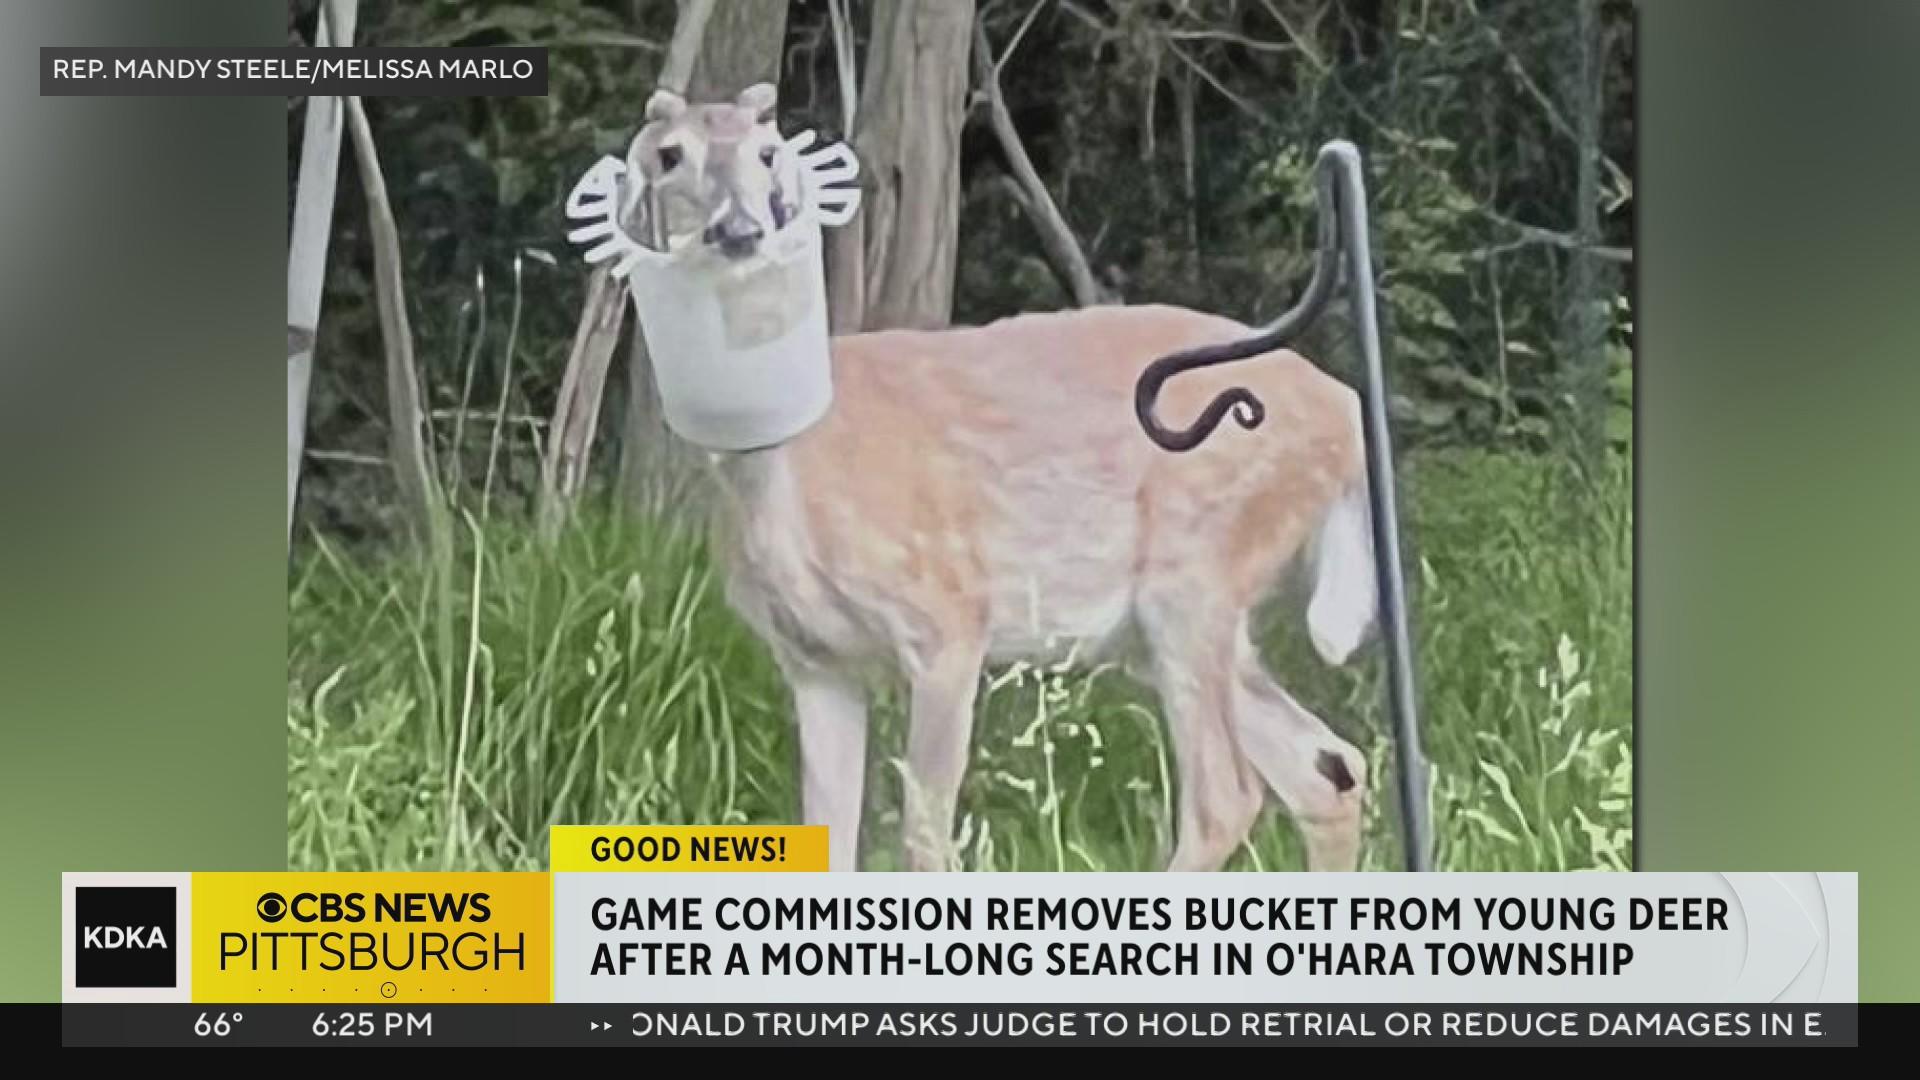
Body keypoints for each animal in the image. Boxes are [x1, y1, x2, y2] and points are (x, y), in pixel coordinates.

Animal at [620, 85, 1377, 874]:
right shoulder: (814, 659)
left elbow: (925, 834)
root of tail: (1345, 409)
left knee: (1228, 793)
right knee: (1329, 766)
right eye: (667, 154)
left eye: (770, 151)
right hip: (1162, 625)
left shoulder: (948, 618)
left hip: (1197, 565)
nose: (738, 229)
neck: (789, 480)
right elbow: (825, 837)